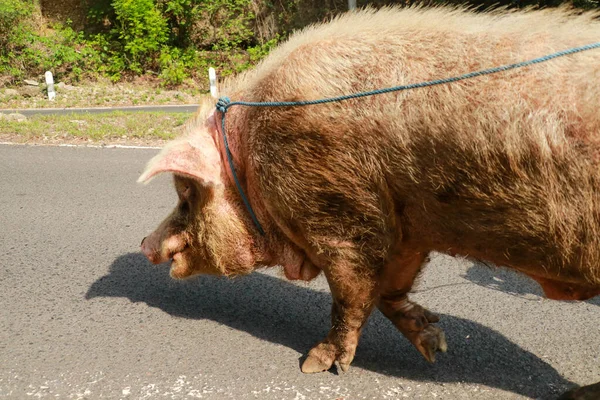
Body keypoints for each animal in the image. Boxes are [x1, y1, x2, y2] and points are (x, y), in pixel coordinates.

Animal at [138, 4, 596, 398]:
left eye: (186, 195)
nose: (143, 244)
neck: (250, 159)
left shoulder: (335, 210)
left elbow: (350, 293)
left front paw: (315, 366)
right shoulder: (406, 229)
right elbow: (391, 289)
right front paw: (436, 345)